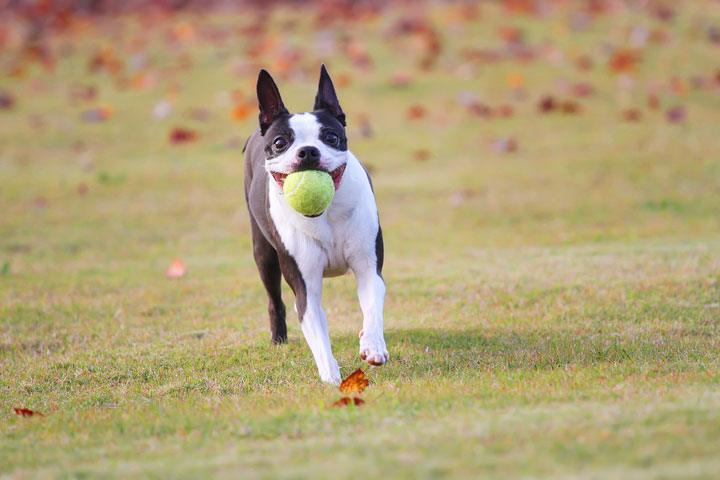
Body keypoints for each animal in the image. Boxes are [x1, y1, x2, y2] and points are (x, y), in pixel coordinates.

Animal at [242, 64, 388, 386]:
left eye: (331, 137)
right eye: (281, 143)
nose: (308, 151)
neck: (325, 214)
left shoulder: (368, 267)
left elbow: (372, 308)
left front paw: (373, 346)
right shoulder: (305, 287)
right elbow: (319, 335)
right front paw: (332, 376)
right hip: (263, 254)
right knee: (274, 299)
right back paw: (278, 339)